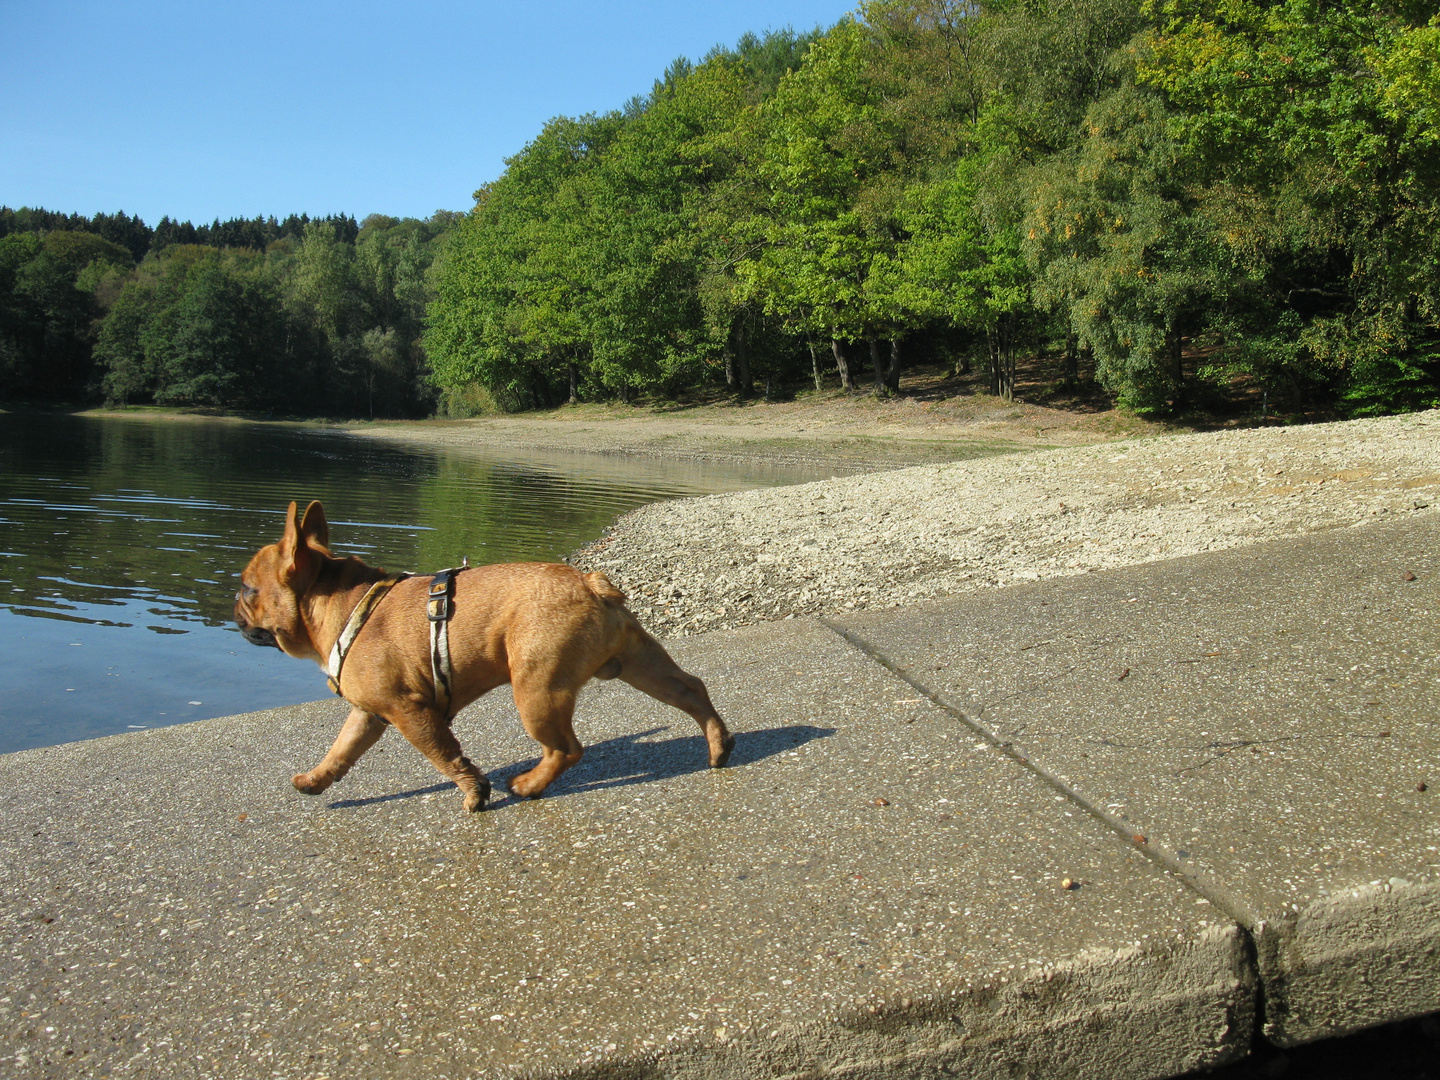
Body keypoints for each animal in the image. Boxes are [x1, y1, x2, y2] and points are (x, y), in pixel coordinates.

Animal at [237, 501, 737, 812]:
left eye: (248, 589)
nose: (235, 608)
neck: (343, 603)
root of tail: (590, 583)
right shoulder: (369, 713)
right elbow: (341, 749)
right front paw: (315, 780)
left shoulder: (408, 711)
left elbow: (445, 754)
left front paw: (475, 793)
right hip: (640, 664)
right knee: (690, 689)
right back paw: (718, 746)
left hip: (536, 691)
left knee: (565, 748)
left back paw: (529, 785)